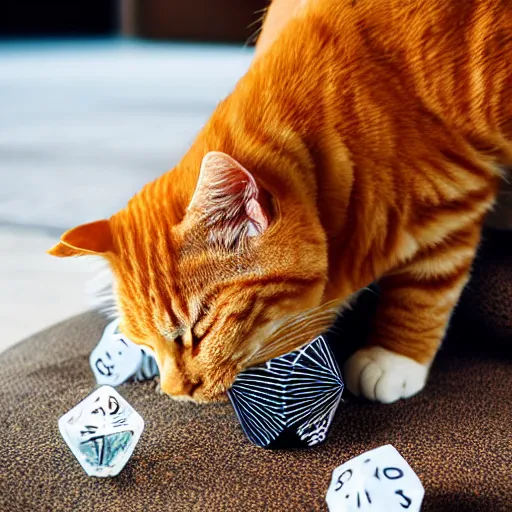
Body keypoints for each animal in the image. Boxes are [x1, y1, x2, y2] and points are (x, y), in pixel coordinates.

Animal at [49, 1, 512, 404]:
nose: (175, 393)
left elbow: (426, 286)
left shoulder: (460, 194)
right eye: (142, 342)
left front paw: (395, 356)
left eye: (199, 330)